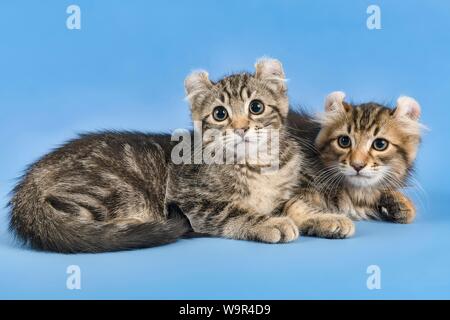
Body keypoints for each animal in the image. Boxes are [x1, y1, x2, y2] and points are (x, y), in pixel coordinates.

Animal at [8, 58, 350, 252]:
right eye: (220, 113)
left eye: (256, 107)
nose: (240, 128)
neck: (255, 165)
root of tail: (30, 180)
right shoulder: (193, 201)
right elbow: (235, 212)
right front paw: (270, 223)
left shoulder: (283, 193)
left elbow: (295, 205)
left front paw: (327, 218)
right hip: (112, 188)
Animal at [288, 90, 422, 226]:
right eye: (344, 141)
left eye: (380, 144)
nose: (357, 165)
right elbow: (294, 206)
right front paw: (330, 220)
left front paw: (401, 203)